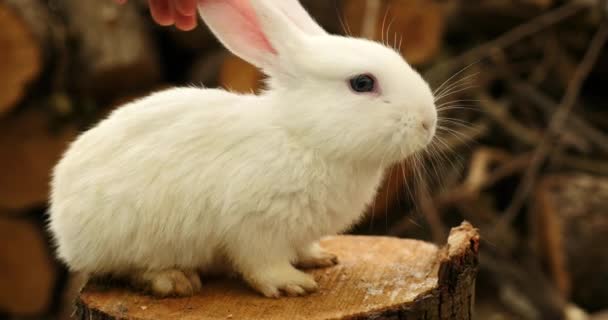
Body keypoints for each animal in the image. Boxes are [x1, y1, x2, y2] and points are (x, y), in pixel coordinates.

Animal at [47, 0, 436, 298]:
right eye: (362, 83)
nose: (427, 122)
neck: (304, 136)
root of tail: (60, 224)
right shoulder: (255, 227)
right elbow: (262, 263)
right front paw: (292, 285)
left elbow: (301, 247)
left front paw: (318, 258)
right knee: (126, 269)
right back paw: (174, 280)